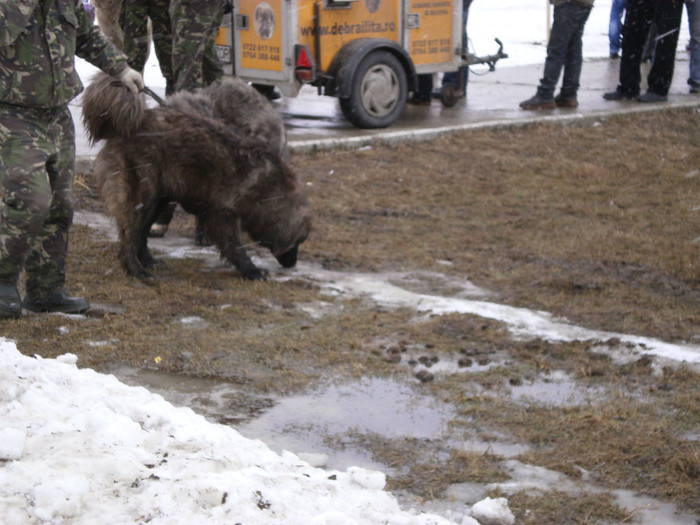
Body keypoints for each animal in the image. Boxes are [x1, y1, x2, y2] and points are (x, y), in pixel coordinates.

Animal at [82, 72, 312, 282]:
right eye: (298, 242)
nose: (292, 264)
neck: (269, 188)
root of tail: (129, 125)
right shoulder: (223, 212)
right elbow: (234, 246)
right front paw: (252, 270)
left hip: (158, 197)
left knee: (141, 233)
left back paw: (148, 260)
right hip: (142, 196)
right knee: (130, 235)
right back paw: (136, 270)